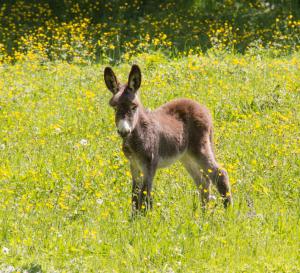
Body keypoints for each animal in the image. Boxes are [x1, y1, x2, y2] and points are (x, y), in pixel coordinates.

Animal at [103, 64, 232, 212]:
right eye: (115, 108)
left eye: (134, 107)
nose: (123, 131)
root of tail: (203, 108)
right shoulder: (134, 165)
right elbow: (134, 196)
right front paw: (134, 217)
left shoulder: (150, 165)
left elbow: (145, 196)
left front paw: (144, 218)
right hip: (186, 156)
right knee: (203, 182)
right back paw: (203, 214)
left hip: (200, 149)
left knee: (220, 174)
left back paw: (228, 212)